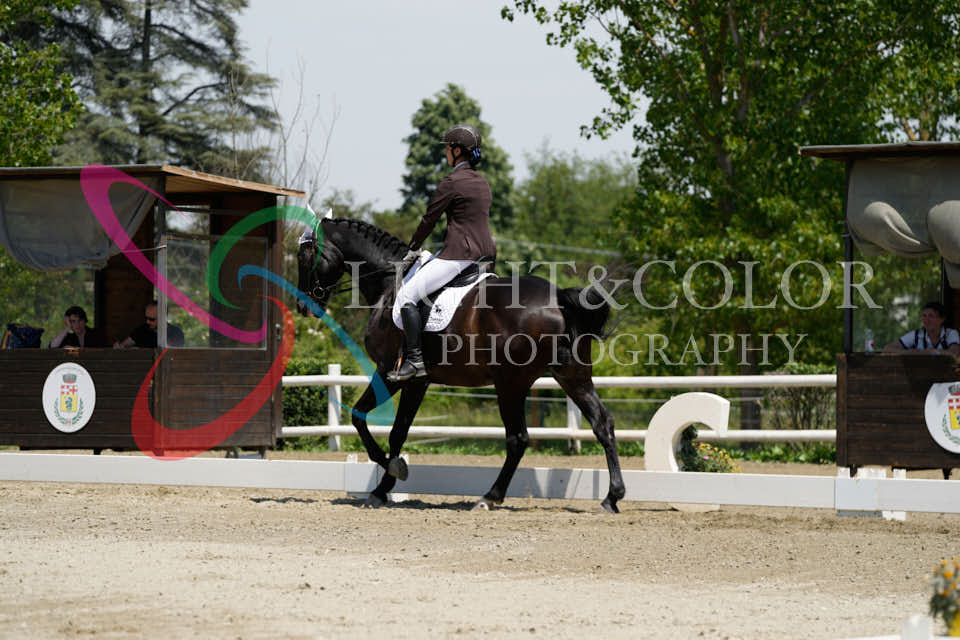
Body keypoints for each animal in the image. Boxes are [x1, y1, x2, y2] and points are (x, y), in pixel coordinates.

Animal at [296, 217, 625, 512]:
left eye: (304, 256)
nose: (303, 306)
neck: (389, 283)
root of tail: (558, 297)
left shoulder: (394, 374)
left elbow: (370, 421)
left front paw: (388, 476)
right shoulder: (417, 381)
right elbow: (389, 427)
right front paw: (386, 481)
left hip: (510, 384)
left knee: (518, 438)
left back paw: (489, 497)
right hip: (572, 375)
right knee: (602, 424)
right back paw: (612, 497)